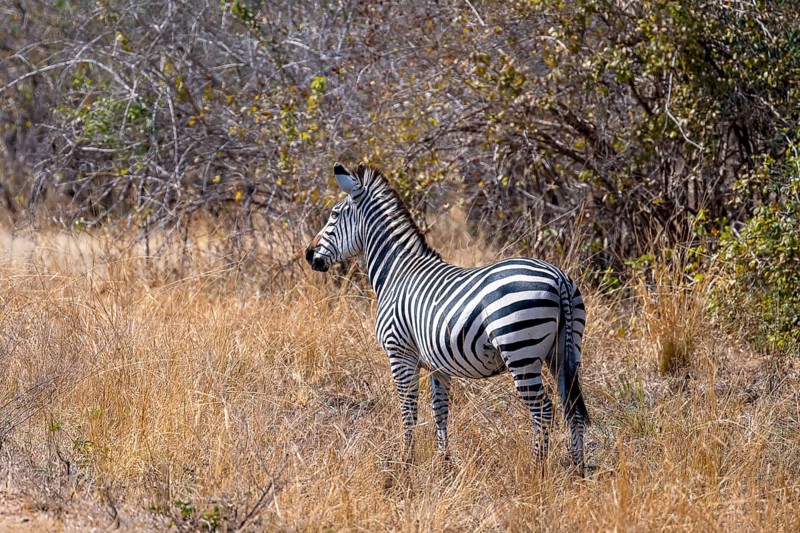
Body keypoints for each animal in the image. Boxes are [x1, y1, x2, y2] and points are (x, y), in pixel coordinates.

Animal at [306, 162, 589, 474]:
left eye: (334, 214)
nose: (308, 255)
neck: (397, 272)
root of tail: (558, 277)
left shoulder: (399, 353)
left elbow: (408, 411)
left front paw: (405, 462)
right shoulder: (436, 364)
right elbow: (440, 411)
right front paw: (444, 463)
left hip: (520, 350)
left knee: (543, 409)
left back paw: (537, 469)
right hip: (563, 351)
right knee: (572, 407)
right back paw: (579, 469)